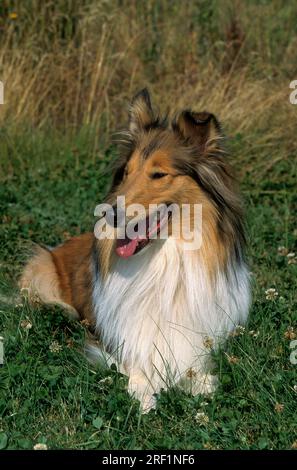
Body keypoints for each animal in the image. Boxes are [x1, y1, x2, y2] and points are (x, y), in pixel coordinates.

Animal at [19, 89, 249, 412]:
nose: (108, 215)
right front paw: (145, 395)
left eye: (159, 174)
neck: (165, 259)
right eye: (126, 173)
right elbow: (138, 362)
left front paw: (199, 383)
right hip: (41, 266)